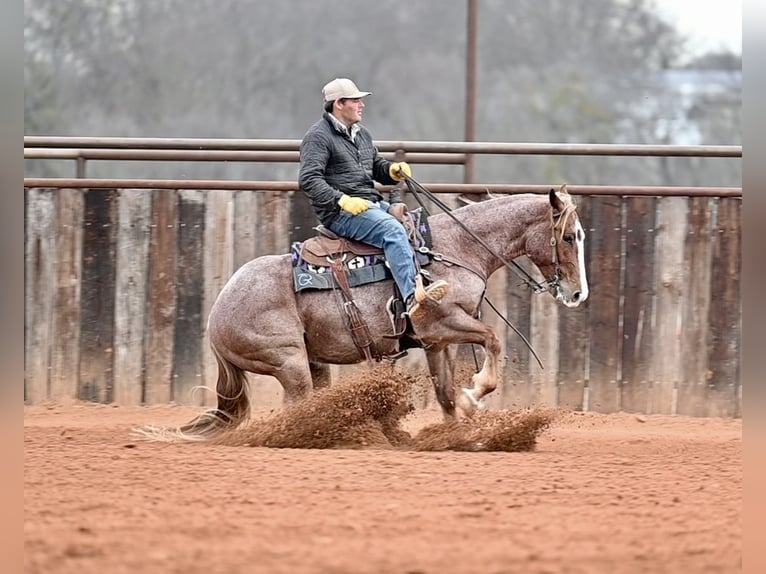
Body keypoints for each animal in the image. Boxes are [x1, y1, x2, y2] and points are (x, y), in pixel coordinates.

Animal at [159, 185, 588, 440]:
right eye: (568, 237)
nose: (578, 293)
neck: (454, 248)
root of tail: (217, 313)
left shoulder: (435, 342)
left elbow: (445, 393)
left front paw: (454, 434)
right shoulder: (444, 323)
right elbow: (493, 340)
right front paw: (477, 393)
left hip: (312, 363)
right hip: (289, 362)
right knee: (294, 410)